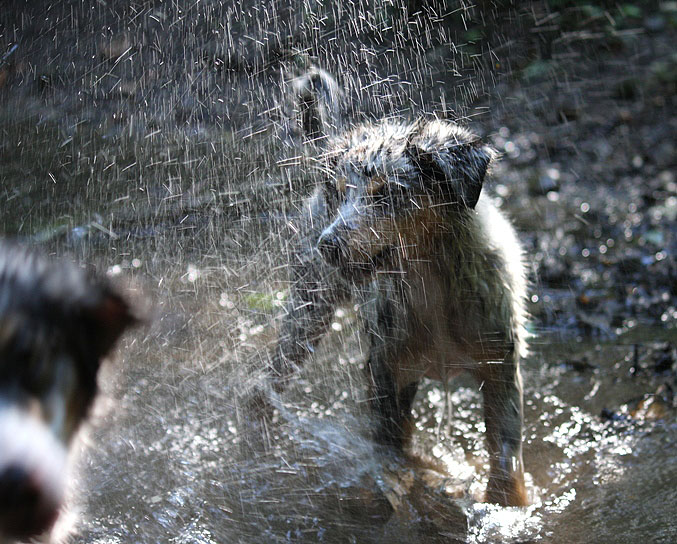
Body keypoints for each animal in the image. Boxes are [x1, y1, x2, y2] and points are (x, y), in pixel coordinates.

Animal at [264, 76, 528, 506]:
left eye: (385, 193)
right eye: (342, 193)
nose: (327, 245)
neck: (431, 280)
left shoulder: (501, 368)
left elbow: (505, 455)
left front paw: (508, 505)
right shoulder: (386, 369)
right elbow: (391, 444)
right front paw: (397, 485)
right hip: (308, 310)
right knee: (262, 384)